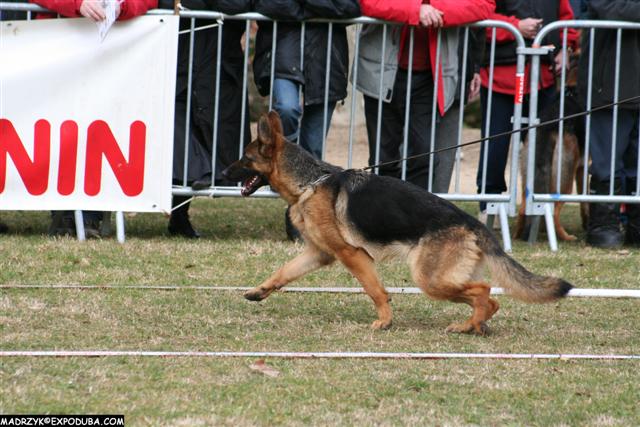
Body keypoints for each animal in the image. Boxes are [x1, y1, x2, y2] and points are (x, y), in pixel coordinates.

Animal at [222, 112, 572, 336]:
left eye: (245, 159)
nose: (221, 174)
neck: (309, 182)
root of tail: (476, 225)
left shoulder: (352, 255)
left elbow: (375, 290)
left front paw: (385, 321)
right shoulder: (320, 254)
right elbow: (283, 271)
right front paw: (259, 291)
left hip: (428, 278)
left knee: (484, 291)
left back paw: (470, 325)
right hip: (441, 279)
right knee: (490, 299)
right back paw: (472, 326)